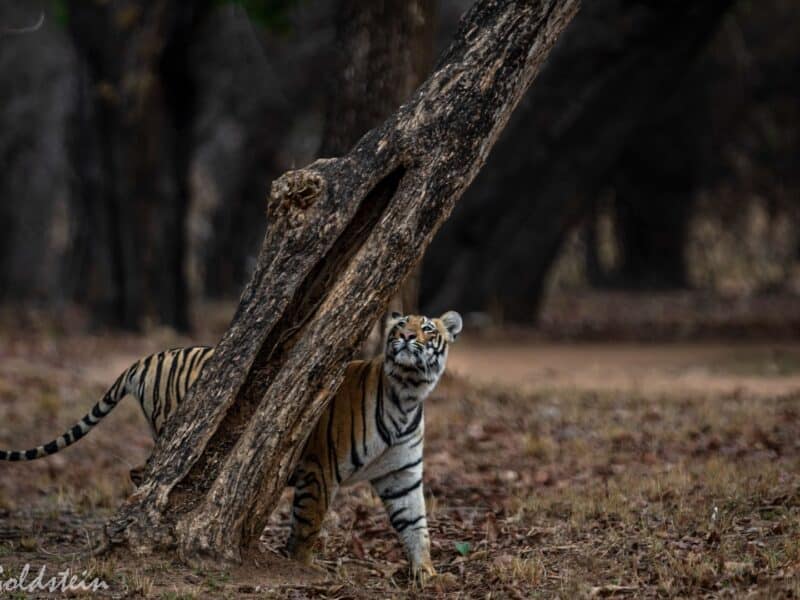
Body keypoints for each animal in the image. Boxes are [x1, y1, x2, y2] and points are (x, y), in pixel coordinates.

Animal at [0, 311, 462, 583]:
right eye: (399, 328)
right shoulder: (319, 468)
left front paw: (428, 573)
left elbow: (415, 524)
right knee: (150, 477)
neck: (408, 392)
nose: (406, 337)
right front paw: (303, 567)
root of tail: (144, 359)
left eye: (427, 329)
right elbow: (308, 523)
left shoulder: (402, 474)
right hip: (180, 433)